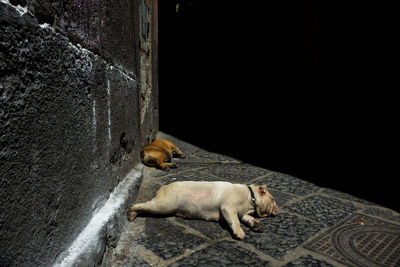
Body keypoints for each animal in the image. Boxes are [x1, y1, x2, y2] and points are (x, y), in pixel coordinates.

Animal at [128, 182, 278, 241]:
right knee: (144, 205)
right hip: (165, 204)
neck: (250, 197)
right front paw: (240, 234)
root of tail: (164, 187)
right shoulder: (228, 207)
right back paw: (131, 212)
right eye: (273, 199)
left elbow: (246, 218)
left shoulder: (243, 213)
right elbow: (235, 221)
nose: (278, 209)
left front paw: (257, 225)